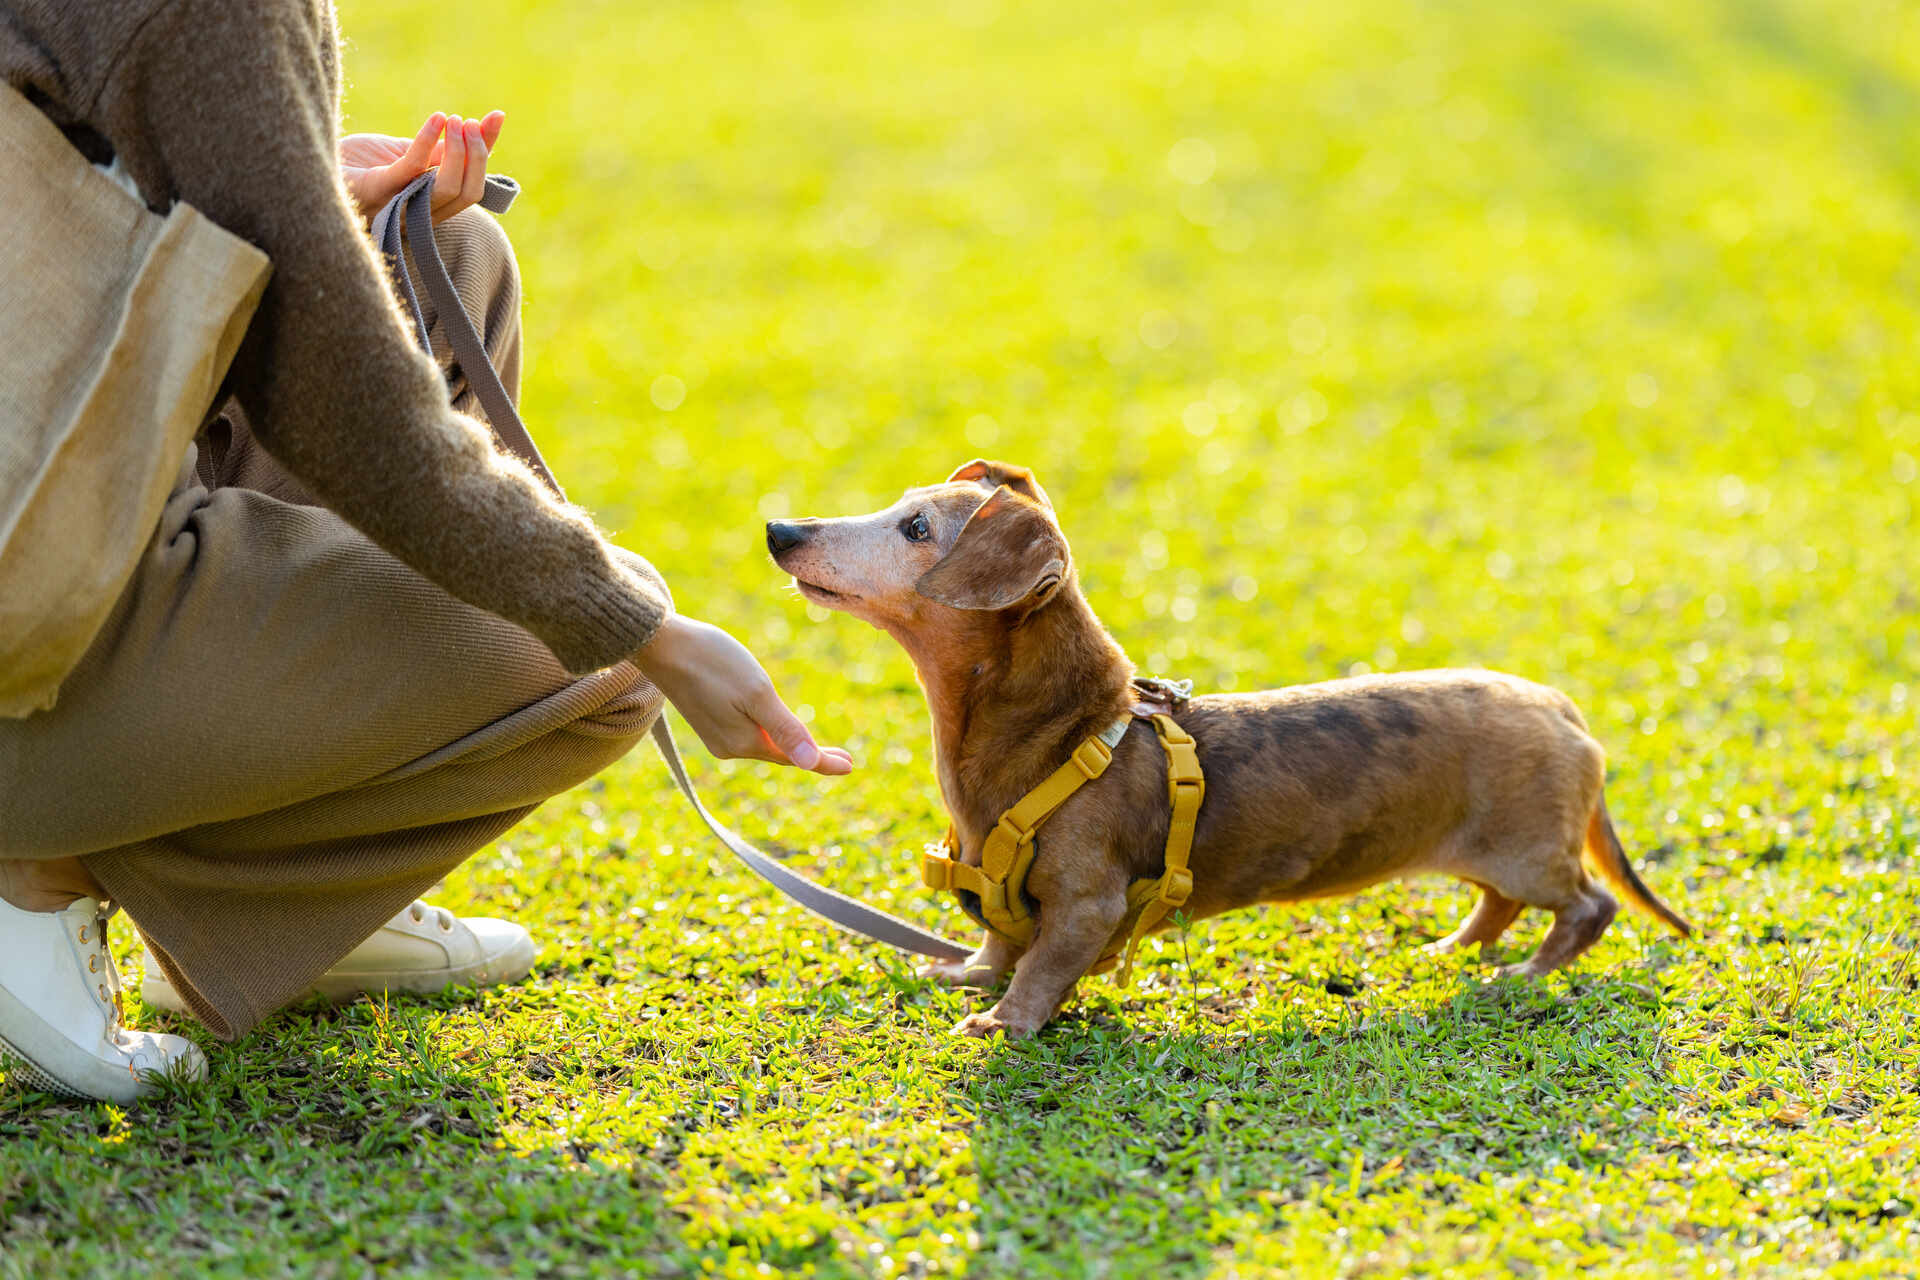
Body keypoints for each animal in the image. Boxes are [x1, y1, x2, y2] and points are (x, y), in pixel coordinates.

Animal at [764, 462, 1697, 1043]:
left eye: (916, 526)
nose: (778, 528)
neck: (1060, 736)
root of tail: (1563, 707)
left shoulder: (1088, 903)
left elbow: (1043, 967)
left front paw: (1005, 1021)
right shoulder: (1007, 896)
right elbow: (998, 941)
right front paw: (965, 976)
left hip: (1531, 849)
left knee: (1586, 906)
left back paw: (1527, 976)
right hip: (1492, 850)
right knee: (1497, 904)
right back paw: (1455, 950)